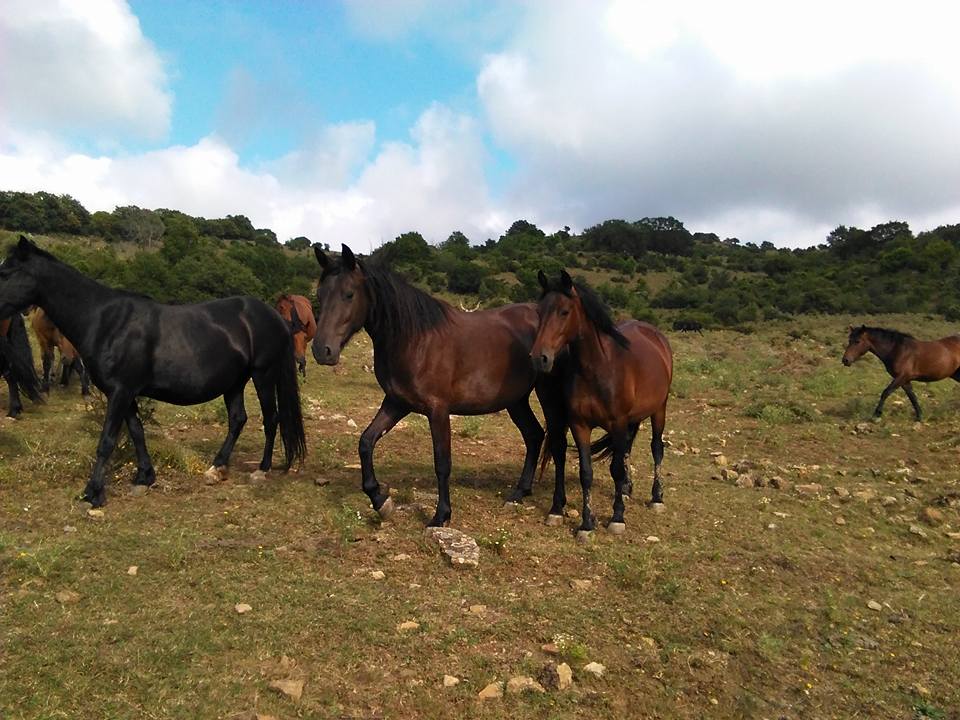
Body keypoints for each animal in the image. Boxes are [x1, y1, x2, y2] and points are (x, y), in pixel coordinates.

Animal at [0, 236, 306, 507]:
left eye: (6, 272)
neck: (105, 320)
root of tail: (274, 316)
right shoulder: (124, 393)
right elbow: (137, 431)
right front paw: (144, 477)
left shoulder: (120, 392)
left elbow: (107, 440)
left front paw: (94, 492)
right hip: (234, 382)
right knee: (238, 419)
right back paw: (217, 467)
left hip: (263, 374)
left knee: (271, 418)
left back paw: (262, 468)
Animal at [311, 244, 566, 528]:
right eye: (320, 294)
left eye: (349, 294)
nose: (322, 350)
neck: (415, 339)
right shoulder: (396, 403)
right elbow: (366, 442)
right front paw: (380, 500)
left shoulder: (438, 410)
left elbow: (442, 463)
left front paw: (441, 515)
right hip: (516, 400)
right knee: (534, 435)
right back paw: (519, 493)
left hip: (547, 397)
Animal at [530, 269, 673, 539]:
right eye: (539, 312)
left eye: (564, 311)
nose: (539, 358)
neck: (598, 368)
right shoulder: (580, 424)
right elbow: (586, 472)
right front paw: (587, 523)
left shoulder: (617, 422)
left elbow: (616, 468)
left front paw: (617, 517)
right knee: (627, 448)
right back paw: (627, 489)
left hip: (659, 409)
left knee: (656, 448)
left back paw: (657, 497)